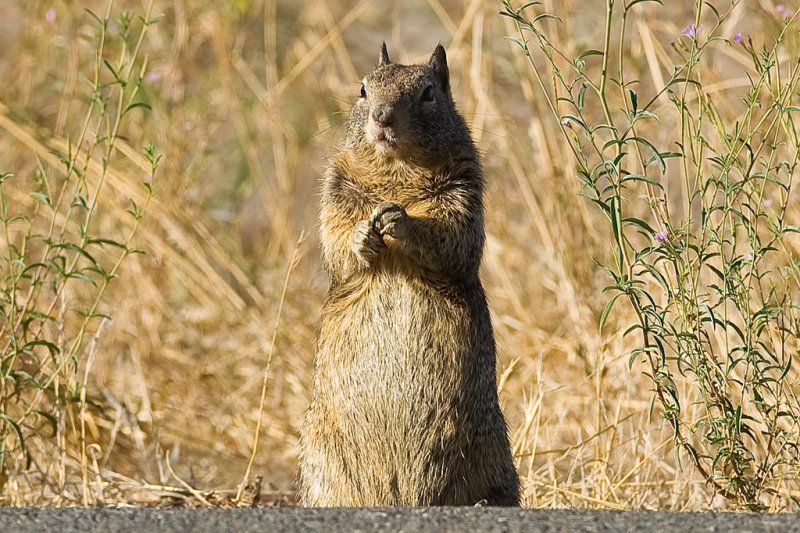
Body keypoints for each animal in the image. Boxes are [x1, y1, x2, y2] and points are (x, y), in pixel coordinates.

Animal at [298, 43, 520, 504]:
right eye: (363, 89)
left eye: (428, 93)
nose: (382, 117)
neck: (395, 171)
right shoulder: (336, 191)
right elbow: (337, 242)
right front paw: (364, 233)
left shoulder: (463, 194)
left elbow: (451, 237)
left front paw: (400, 221)